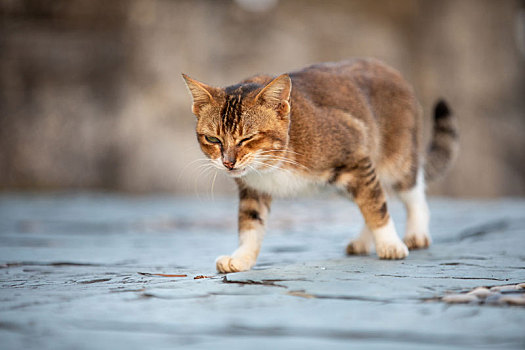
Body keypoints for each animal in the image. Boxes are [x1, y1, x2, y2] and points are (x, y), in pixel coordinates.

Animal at [182, 58, 456, 274]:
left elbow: (375, 207)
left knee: (409, 190)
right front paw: (241, 258)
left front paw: (389, 243)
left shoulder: (356, 155)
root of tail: (393, 71)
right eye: (213, 139)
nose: (228, 162)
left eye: (247, 138)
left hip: (394, 158)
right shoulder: (253, 189)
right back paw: (363, 241)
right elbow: (250, 223)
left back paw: (416, 232)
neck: (271, 164)